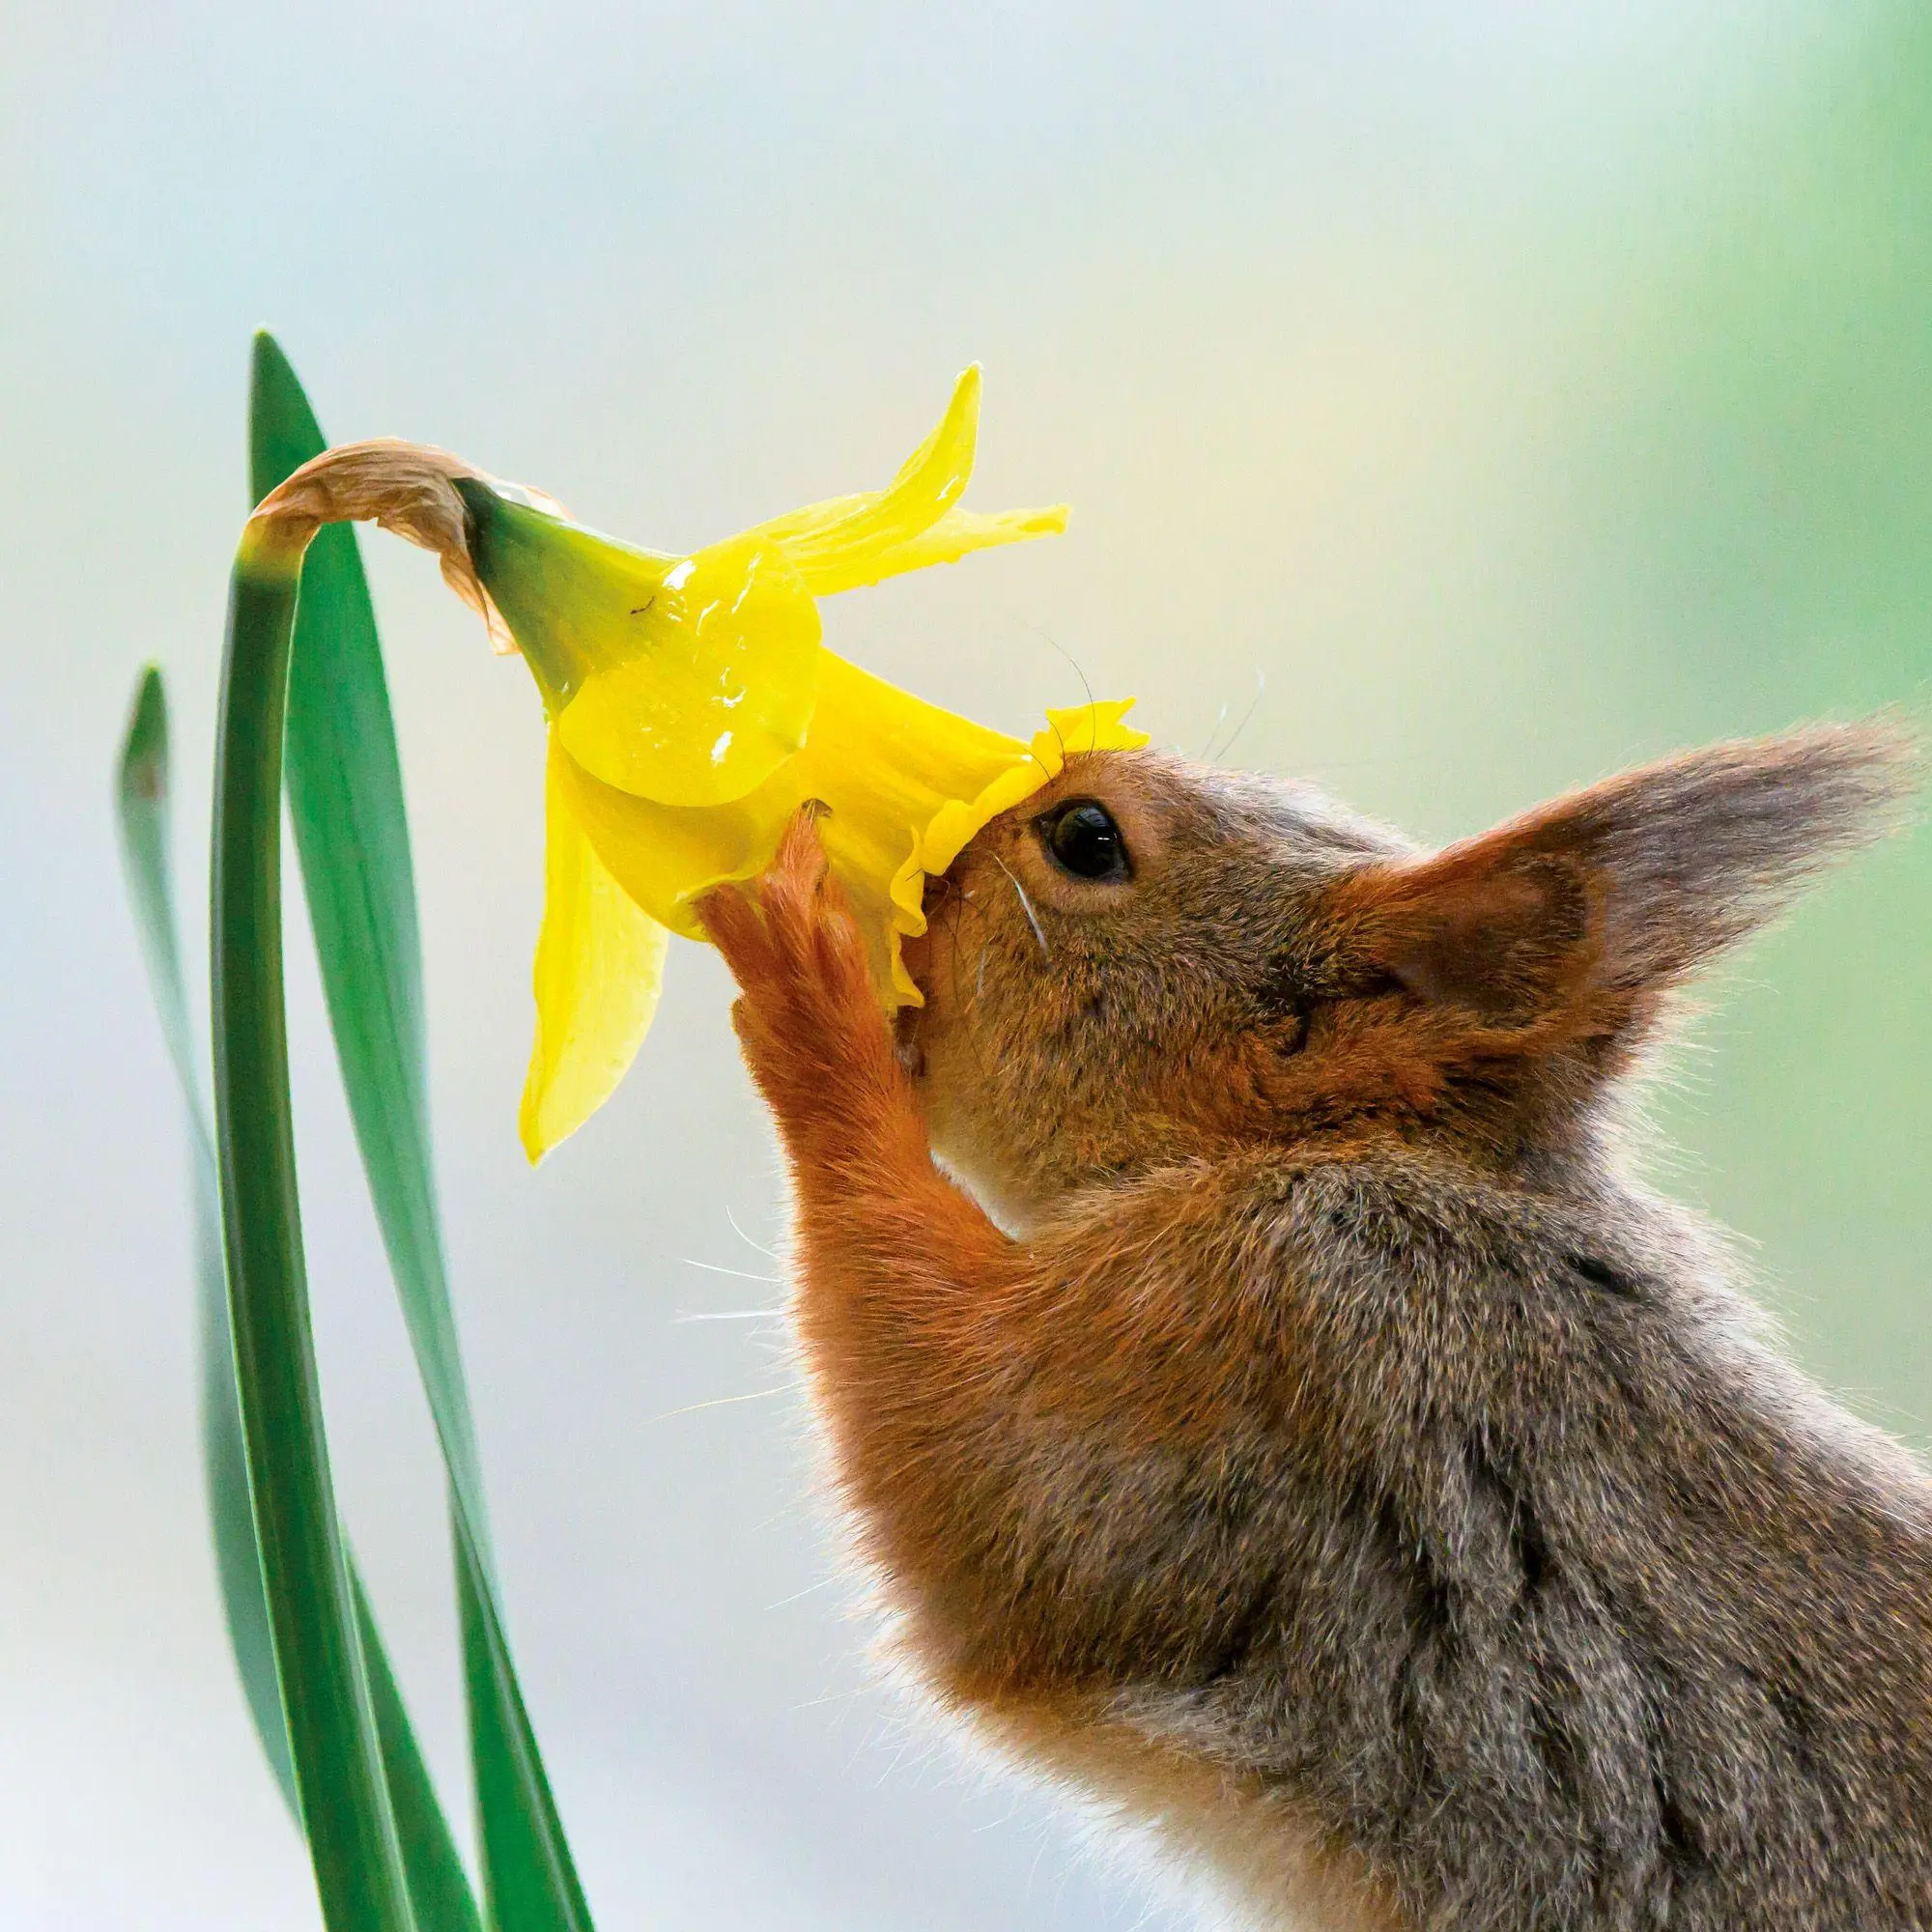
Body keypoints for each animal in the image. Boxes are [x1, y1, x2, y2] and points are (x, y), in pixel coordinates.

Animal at [696, 720, 1930, 1932]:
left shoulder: (1251, 1331)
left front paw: (811, 989)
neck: (1346, 1151)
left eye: (1085, 839)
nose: (927, 864)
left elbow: (976, 1465)